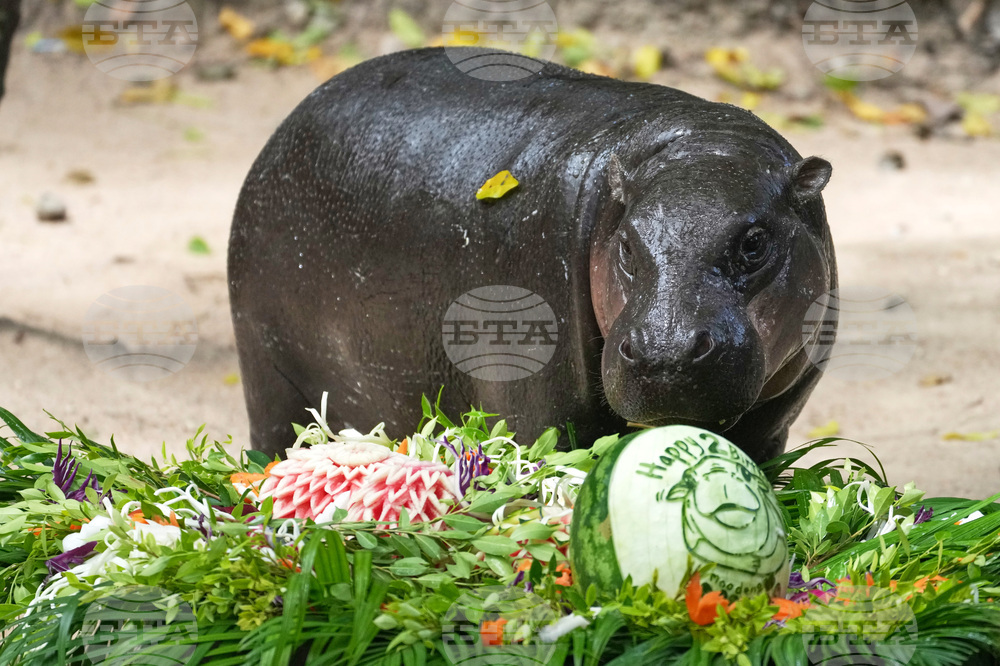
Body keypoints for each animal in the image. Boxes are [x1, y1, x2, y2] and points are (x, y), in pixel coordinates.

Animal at [228, 47, 837, 463]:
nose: (666, 352)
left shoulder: (770, 428)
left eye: (755, 242)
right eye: (627, 243)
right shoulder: (536, 409)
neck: (703, 146)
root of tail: (281, 133)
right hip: (269, 378)